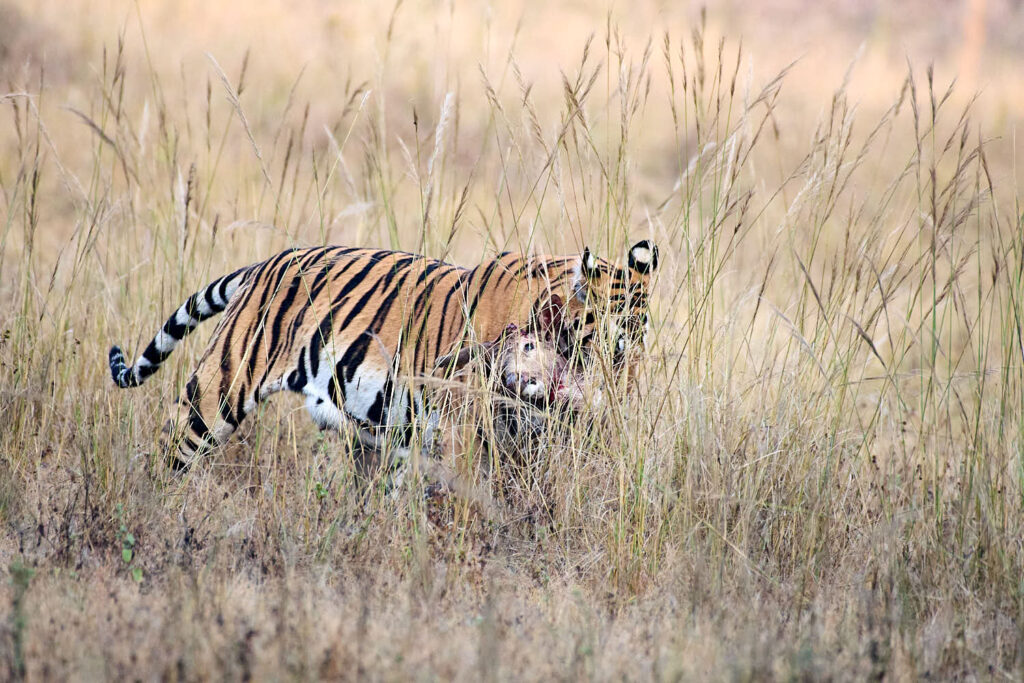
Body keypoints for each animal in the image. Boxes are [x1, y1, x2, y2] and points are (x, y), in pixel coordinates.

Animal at [107, 240, 658, 470]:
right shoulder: (463, 416)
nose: (632, 392)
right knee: (171, 451)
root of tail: (263, 264)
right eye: (618, 343)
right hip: (216, 393)